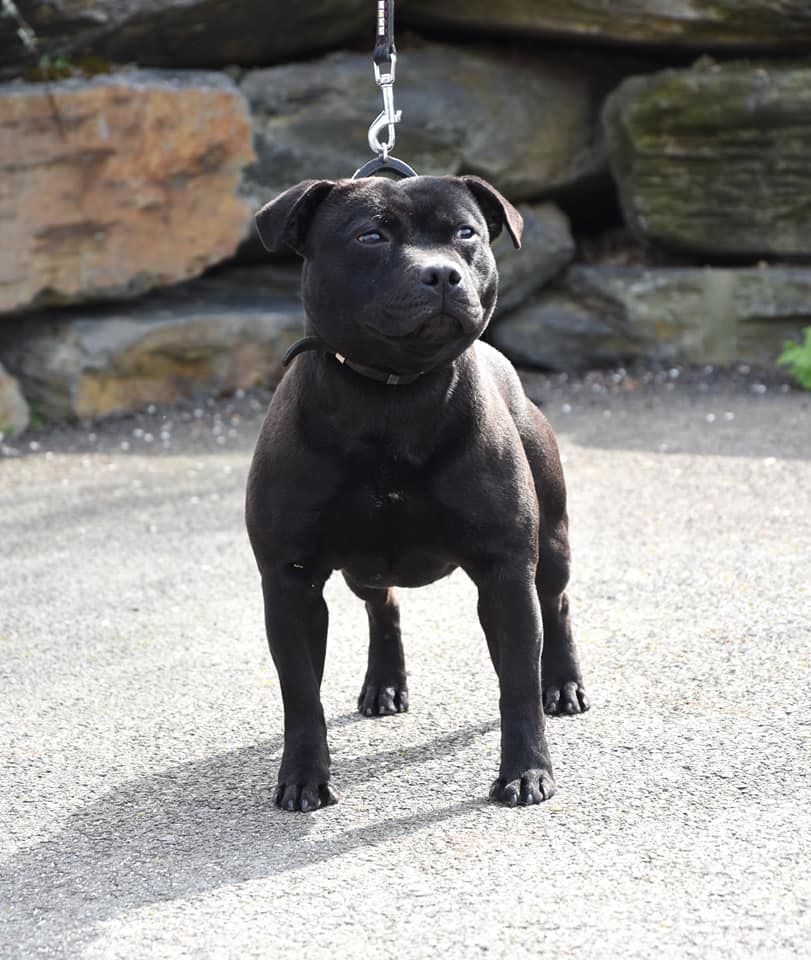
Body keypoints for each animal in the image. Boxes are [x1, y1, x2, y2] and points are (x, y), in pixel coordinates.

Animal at [244, 174, 588, 808]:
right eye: (370, 236)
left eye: (465, 234)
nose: (442, 274)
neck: (391, 394)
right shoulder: (290, 582)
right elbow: (301, 694)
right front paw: (303, 776)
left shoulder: (506, 572)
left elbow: (517, 686)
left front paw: (527, 771)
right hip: (364, 567)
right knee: (384, 606)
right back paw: (384, 683)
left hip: (550, 545)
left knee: (556, 603)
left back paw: (563, 683)